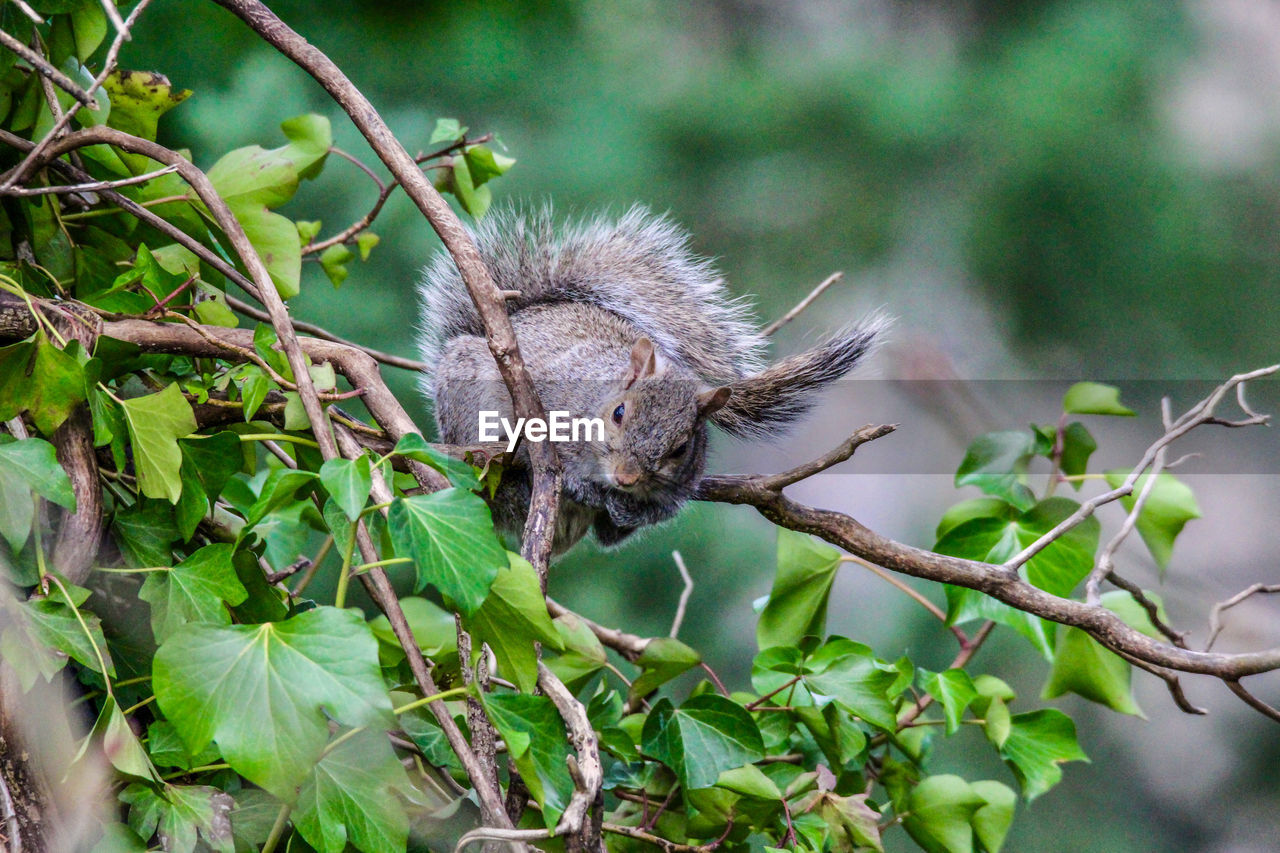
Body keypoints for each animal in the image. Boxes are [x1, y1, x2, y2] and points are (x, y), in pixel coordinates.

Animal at [414, 206, 885, 550]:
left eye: (681, 448)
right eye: (619, 413)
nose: (625, 478)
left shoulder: (678, 486)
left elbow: (633, 523)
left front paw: (629, 511)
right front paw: (575, 479)